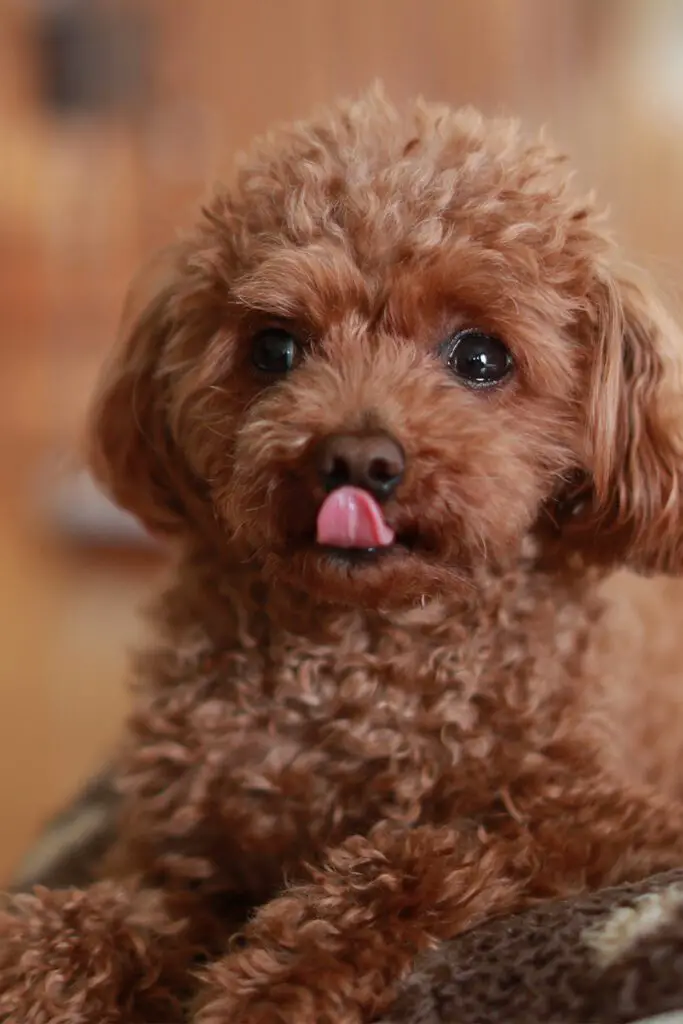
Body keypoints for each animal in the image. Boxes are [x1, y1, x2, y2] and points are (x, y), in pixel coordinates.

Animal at [1, 90, 683, 1024]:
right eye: (274, 347)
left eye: (480, 356)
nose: (357, 461)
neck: (358, 658)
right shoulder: (179, 858)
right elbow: (118, 915)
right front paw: (39, 964)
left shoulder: (606, 826)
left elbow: (429, 853)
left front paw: (275, 981)